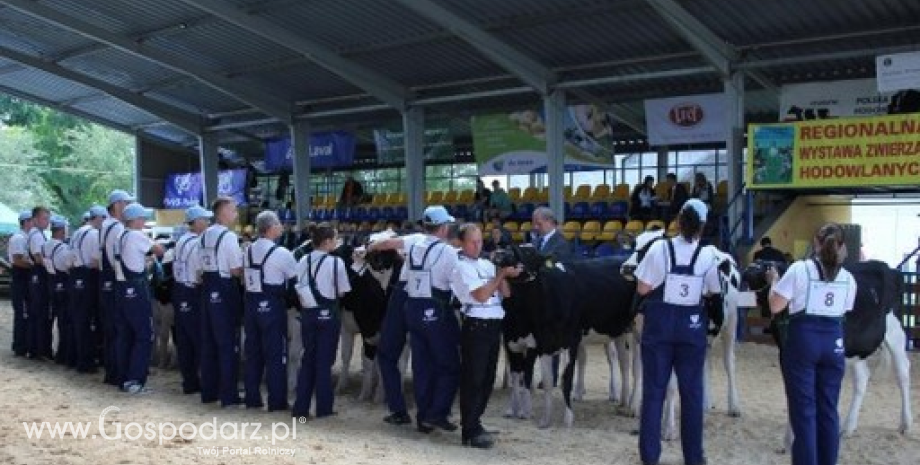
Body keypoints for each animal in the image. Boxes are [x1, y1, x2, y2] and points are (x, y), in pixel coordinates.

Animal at [744, 260, 908, 448]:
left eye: (763, 267)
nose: (748, 269)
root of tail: (890, 269)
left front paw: (792, 438)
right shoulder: (785, 353)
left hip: (895, 333)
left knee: (903, 373)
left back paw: (905, 423)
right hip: (855, 348)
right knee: (862, 378)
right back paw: (847, 428)